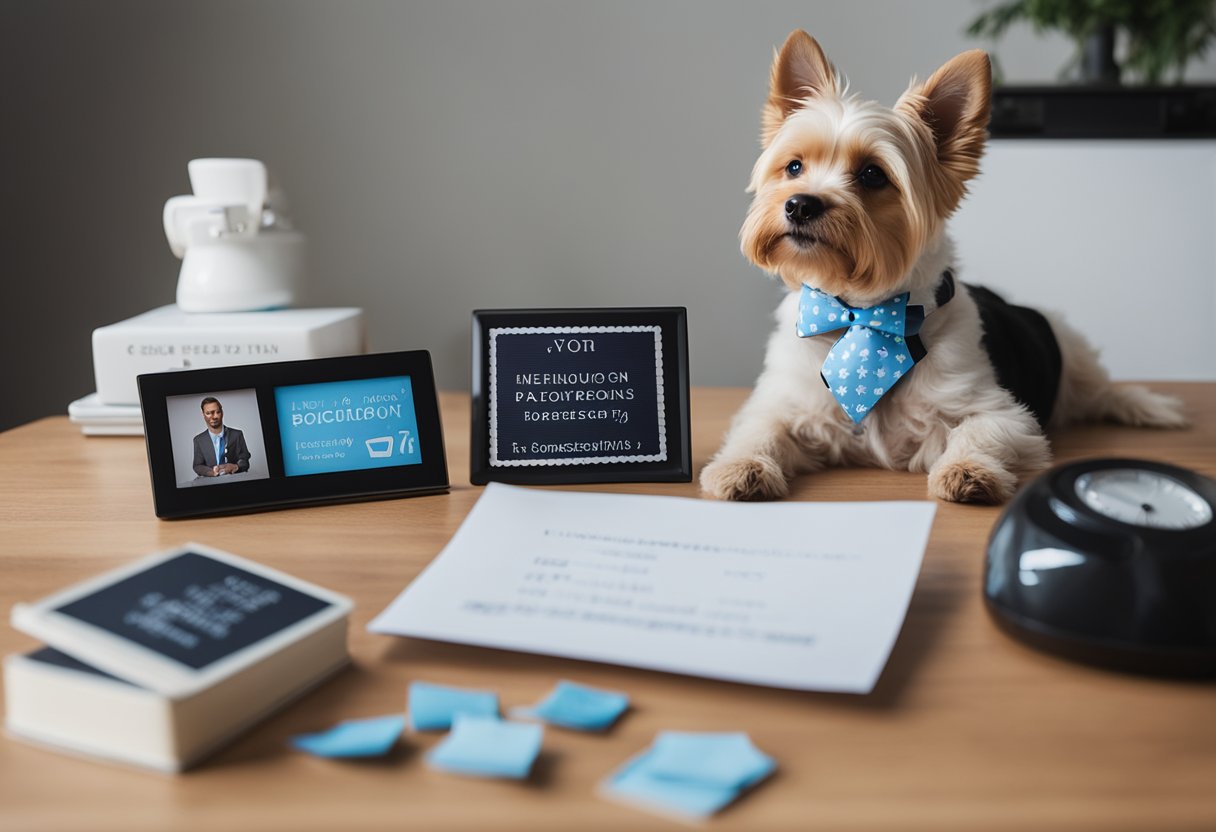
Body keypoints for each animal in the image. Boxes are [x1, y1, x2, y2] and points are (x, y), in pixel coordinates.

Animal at [700, 29, 1181, 503]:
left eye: (873, 175)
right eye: (794, 166)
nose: (800, 204)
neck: (862, 313)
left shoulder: (1004, 413)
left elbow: (982, 431)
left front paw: (968, 470)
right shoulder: (783, 403)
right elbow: (759, 429)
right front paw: (741, 466)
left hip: (1072, 353)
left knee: (1100, 390)